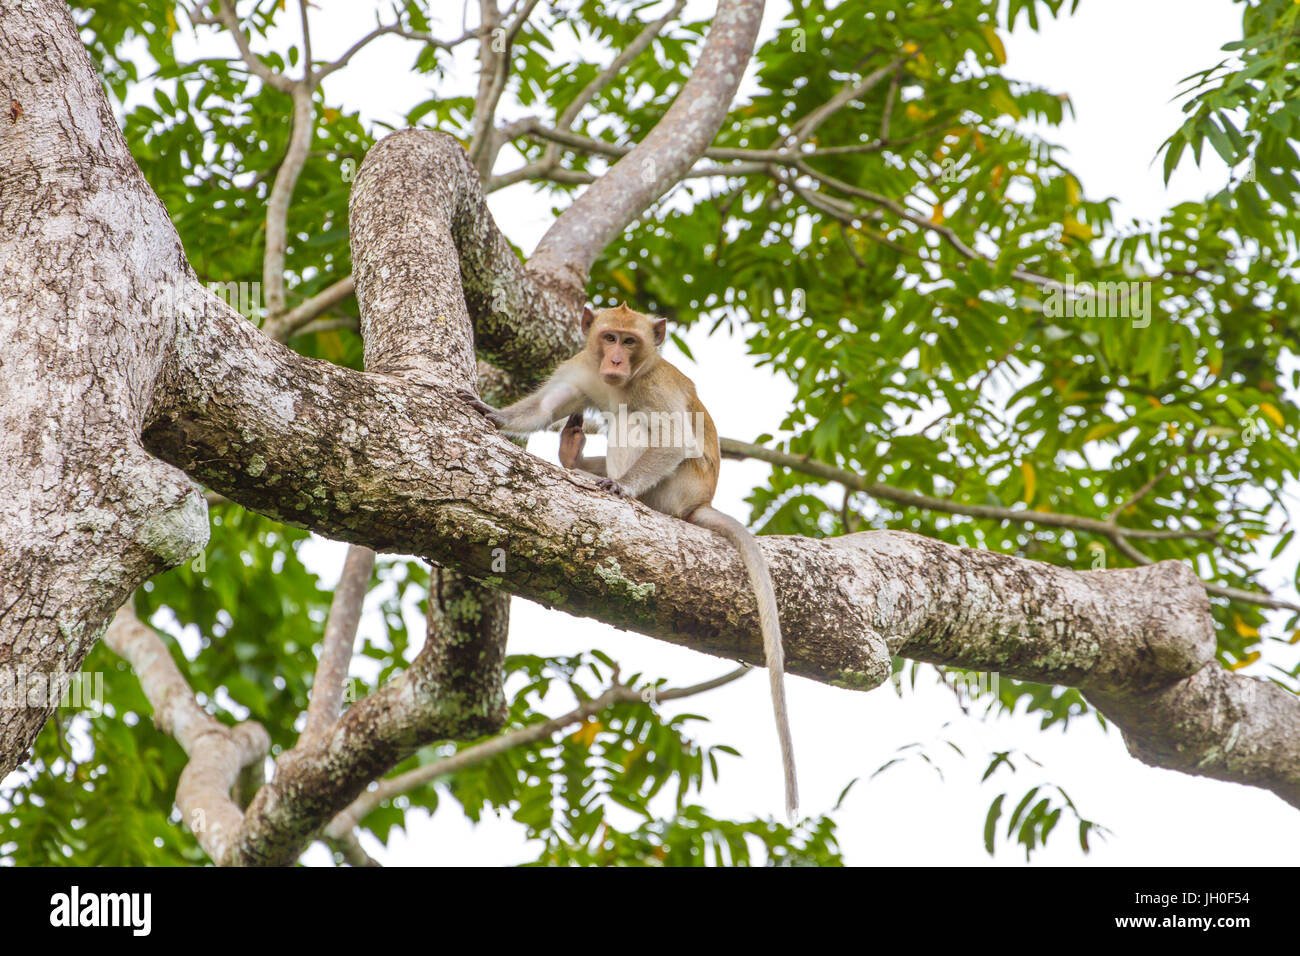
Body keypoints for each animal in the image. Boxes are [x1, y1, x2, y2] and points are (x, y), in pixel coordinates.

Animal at [462, 303, 795, 816]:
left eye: (630, 342)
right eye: (609, 337)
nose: (616, 361)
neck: (623, 380)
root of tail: (699, 503)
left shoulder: (655, 387)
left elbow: (674, 437)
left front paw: (620, 487)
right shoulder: (582, 368)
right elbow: (546, 407)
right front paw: (494, 414)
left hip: (674, 490)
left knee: (633, 423)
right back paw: (573, 457)